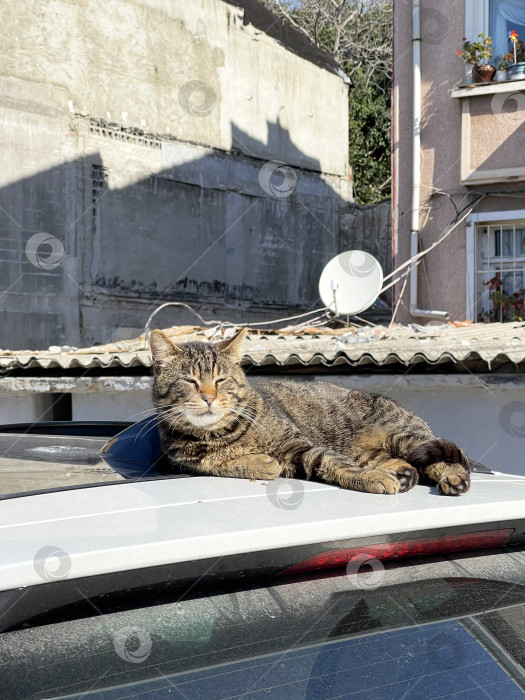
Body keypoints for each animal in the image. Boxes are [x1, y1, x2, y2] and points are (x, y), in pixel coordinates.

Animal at [149, 330, 468, 494]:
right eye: (190, 381)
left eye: (220, 380)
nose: (208, 397)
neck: (217, 435)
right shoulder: (184, 462)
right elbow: (218, 464)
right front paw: (260, 463)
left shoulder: (300, 446)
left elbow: (335, 463)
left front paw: (369, 479)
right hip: (378, 452)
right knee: (410, 464)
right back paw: (401, 474)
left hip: (403, 434)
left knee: (444, 455)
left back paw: (453, 478)